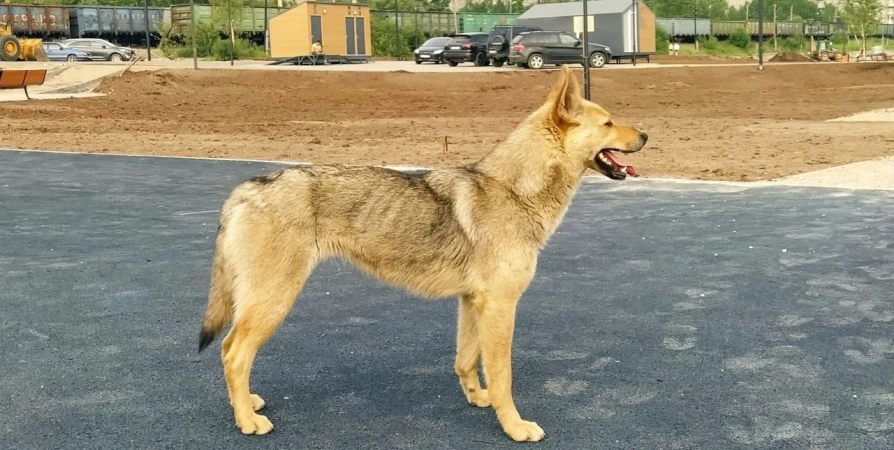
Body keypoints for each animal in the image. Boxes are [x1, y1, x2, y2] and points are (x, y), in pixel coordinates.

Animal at [200, 67, 652, 442]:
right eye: (608, 123)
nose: (646, 136)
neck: (514, 190)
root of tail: (246, 189)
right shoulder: (501, 306)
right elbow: (503, 376)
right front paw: (514, 427)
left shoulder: (473, 303)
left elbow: (467, 361)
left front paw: (479, 399)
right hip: (273, 302)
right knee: (234, 354)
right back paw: (246, 421)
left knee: (227, 352)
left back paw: (245, 404)